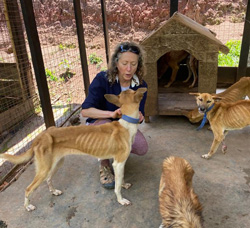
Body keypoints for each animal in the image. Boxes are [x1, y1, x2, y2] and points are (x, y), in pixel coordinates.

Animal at [0, 87, 146, 212]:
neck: (126, 124)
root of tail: (41, 135)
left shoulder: (119, 163)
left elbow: (121, 179)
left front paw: (124, 184)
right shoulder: (119, 163)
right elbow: (117, 186)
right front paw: (121, 200)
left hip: (56, 164)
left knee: (48, 179)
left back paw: (54, 191)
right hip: (44, 169)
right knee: (28, 189)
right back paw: (28, 206)